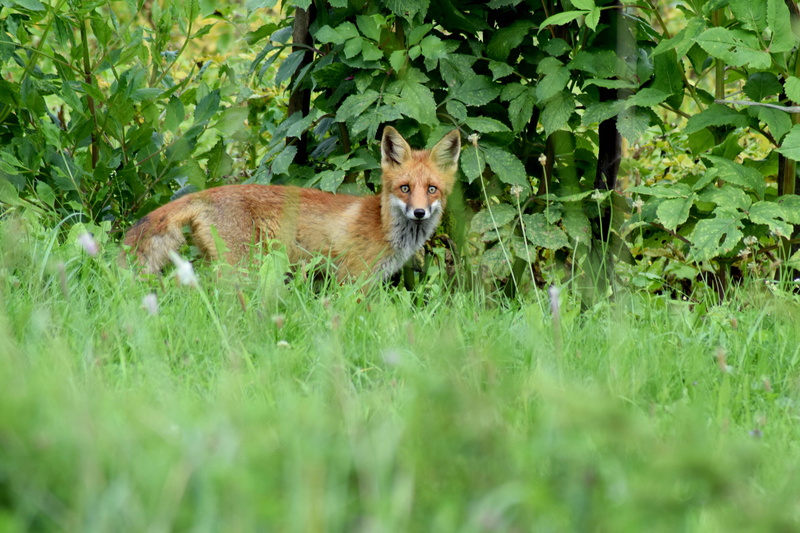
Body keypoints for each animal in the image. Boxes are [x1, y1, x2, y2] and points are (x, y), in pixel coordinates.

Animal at [121, 127, 462, 281]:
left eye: (432, 189)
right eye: (405, 188)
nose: (419, 212)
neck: (383, 227)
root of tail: (210, 193)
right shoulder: (353, 279)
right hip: (242, 268)